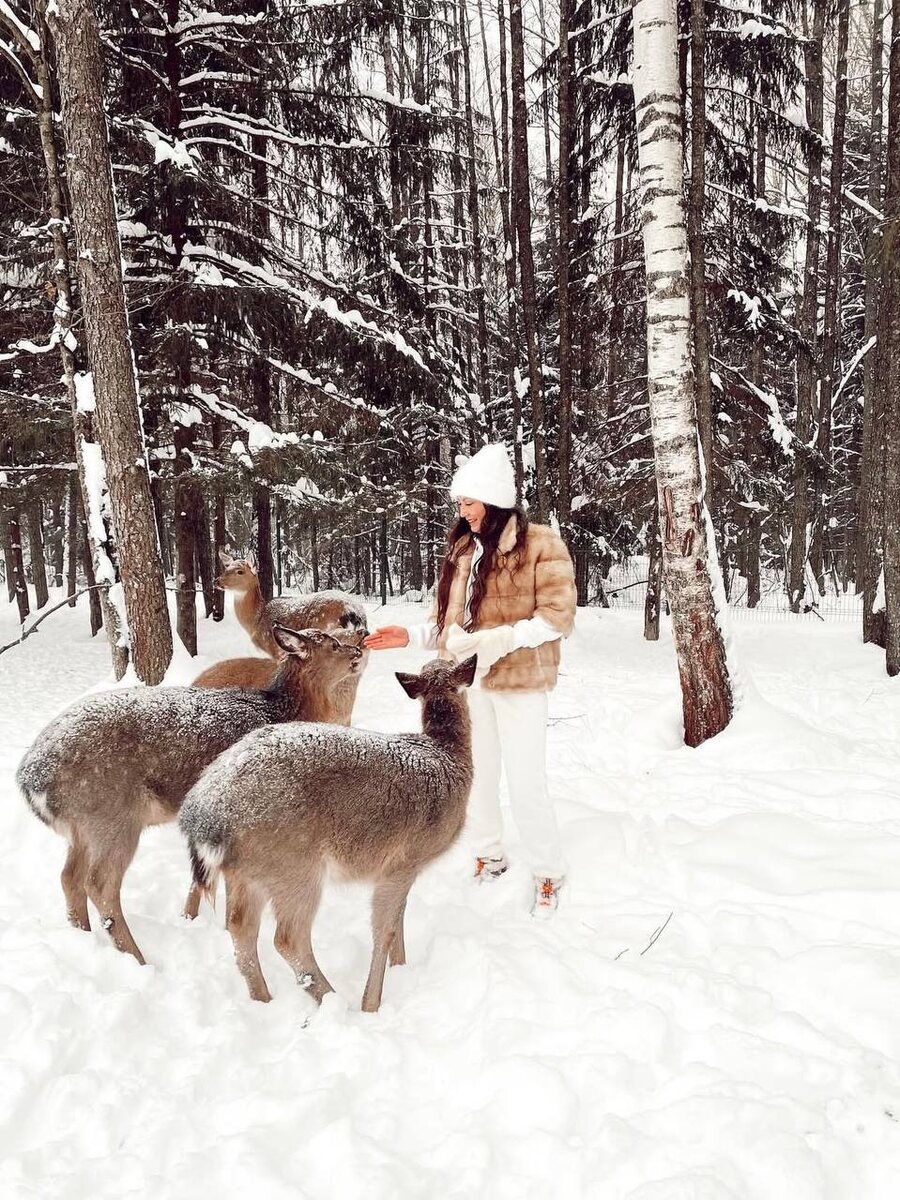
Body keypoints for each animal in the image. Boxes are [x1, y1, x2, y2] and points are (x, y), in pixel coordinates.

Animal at [16, 627, 363, 964]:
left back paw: (84, 935)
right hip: (110, 813)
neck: (281, 710)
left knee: (69, 877)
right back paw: (138, 958)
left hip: (81, 827)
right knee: (99, 884)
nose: (357, 650)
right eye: (332, 643)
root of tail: (30, 778)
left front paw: (191, 918)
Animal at [179, 655, 477, 1013]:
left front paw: (401, 966)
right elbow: (385, 929)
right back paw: (332, 1001)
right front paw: (372, 1003)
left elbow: (400, 916)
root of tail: (204, 812)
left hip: (247, 871)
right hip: (294, 863)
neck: (447, 757)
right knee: (287, 938)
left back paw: (264, 999)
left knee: (240, 928)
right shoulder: (405, 859)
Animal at [216, 549, 369, 725]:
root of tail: (352, 611)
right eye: (226, 568)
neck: (256, 620)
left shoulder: (274, 649)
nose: (217, 581)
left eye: (240, 571)